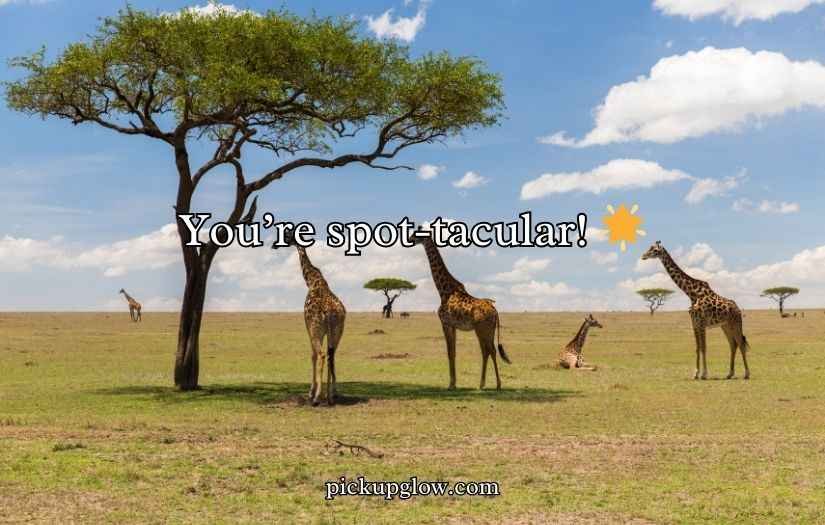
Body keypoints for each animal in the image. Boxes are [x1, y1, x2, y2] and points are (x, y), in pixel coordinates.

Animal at [272, 232, 346, 406]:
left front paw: (311, 393)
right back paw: (332, 395)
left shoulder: (308, 326)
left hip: (316, 328)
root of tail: (330, 312)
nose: (274, 244)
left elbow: (312, 355)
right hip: (337, 331)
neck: (311, 280)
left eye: (286, 234)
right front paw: (326, 393)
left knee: (321, 355)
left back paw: (317, 397)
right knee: (331, 355)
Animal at [413, 236, 511, 390]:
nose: (410, 239)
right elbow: (453, 352)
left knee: (488, 350)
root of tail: (495, 311)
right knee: (489, 351)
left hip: (481, 329)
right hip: (489, 330)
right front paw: (453, 383)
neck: (443, 291)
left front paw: (451, 384)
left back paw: (490, 384)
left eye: (417, 235)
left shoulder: (445, 323)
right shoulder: (453, 326)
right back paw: (487, 384)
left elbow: (449, 352)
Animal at [641, 241, 751, 380]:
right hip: (725, 326)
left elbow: (704, 347)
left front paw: (704, 374)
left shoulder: (702, 323)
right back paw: (729, 374)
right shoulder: (695, 323)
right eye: (649, 248)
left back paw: (747, 374)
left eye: (655, 250)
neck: (691, 293)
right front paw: (696, 373)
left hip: (736, 323)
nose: (643, 256)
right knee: (733, 344)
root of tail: (738, 309)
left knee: (740, 343)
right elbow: (697, 348)